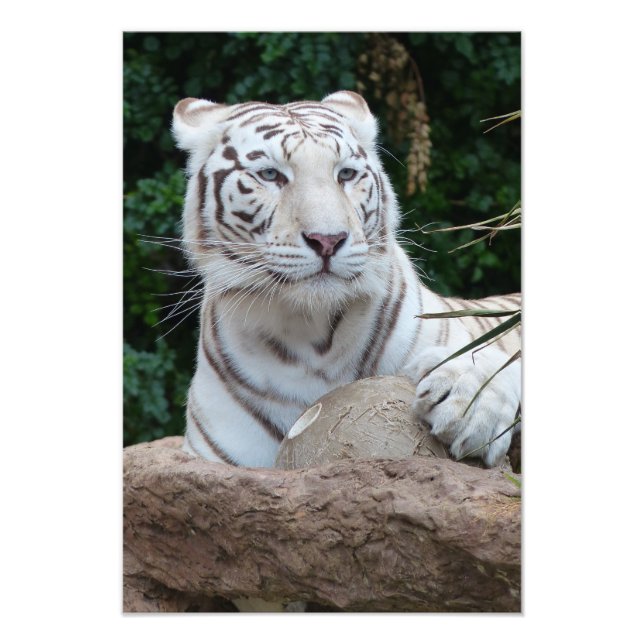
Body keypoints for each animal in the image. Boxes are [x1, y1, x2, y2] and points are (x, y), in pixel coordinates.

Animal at [171, 90, 521, 470]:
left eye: (347, 174)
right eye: (270, 174)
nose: (328, 240)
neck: (310, 336)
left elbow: (495, 357)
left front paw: (468, 404)